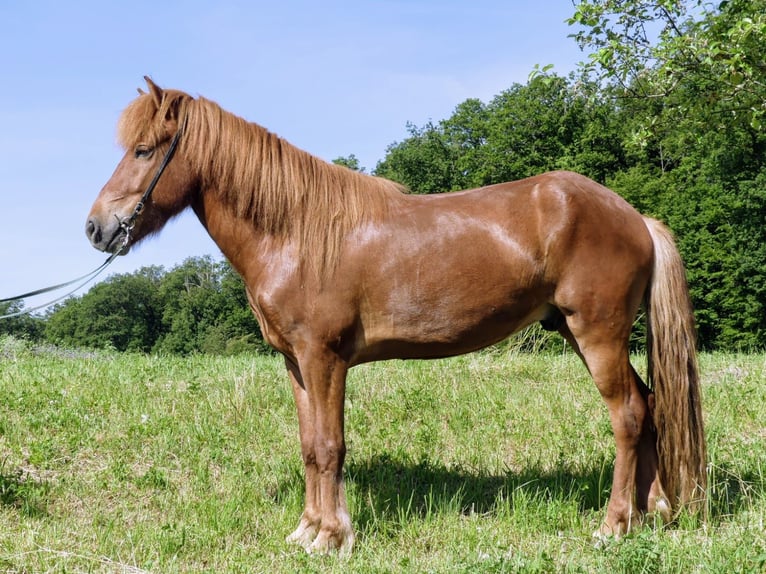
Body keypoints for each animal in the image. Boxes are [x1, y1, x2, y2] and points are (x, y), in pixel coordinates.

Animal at [86, 77, 706, 555]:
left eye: (144, 150)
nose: (96, 227)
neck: (297, 232)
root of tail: (634, 217)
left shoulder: (325, 359)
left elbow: (331, 446)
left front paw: (332, 537)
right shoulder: (296, 364)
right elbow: (309, 446)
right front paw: (306, 531)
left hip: (596, 333)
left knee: (628, 415)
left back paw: (614, 526)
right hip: (581, 333)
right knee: (651, 406)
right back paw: (655, 511)